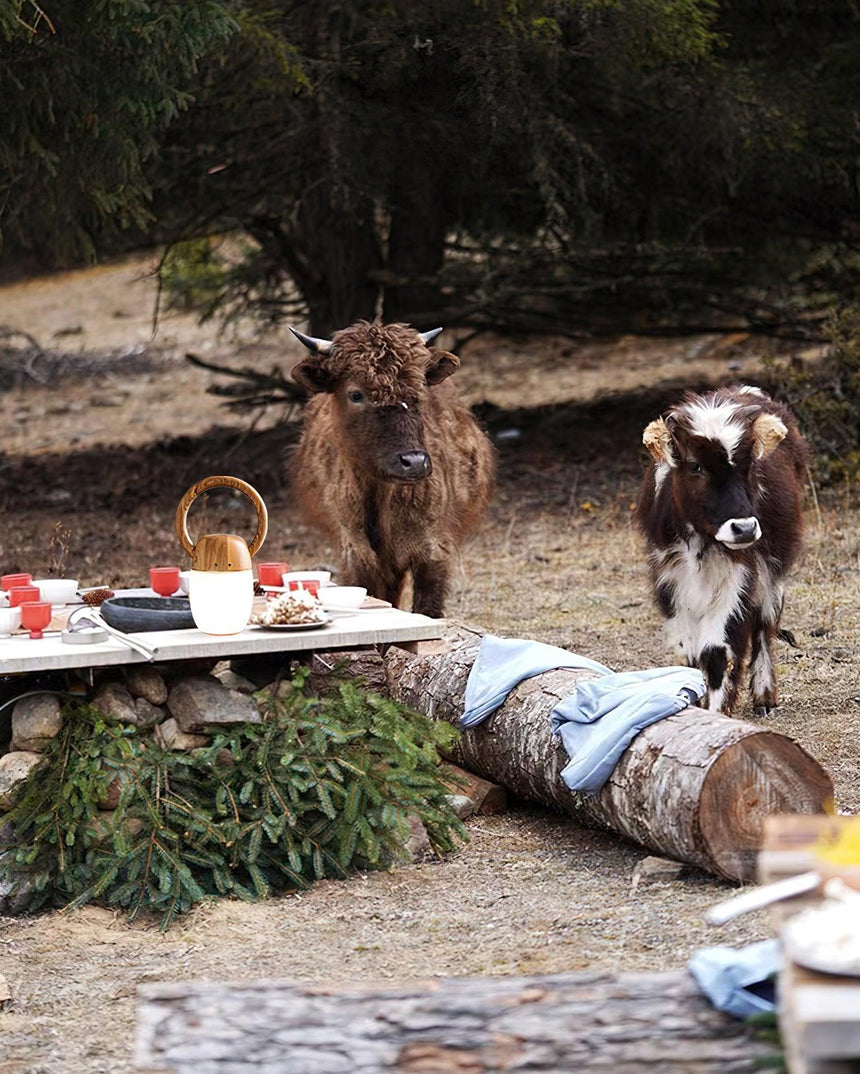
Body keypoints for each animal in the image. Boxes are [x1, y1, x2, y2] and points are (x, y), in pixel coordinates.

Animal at [289, 320, 495, 618]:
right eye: (355, 394)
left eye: (420, 388)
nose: (414, 462)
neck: (380, 493)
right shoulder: (356, 551)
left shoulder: (431, 549)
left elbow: (428, 607)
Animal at [635, 385, 808, 715]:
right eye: (695, 466)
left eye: (748, 465)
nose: (744, 528)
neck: (701, 544)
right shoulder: (671, 578)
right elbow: (688, 652)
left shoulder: (737, 577)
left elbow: (716, 652)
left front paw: (716, 713)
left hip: (771, 572)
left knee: (764, 624)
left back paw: (764, 696)